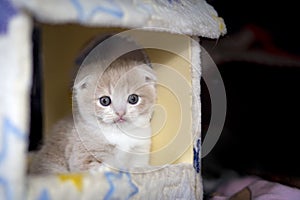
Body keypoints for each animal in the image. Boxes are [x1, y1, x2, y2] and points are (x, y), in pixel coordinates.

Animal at [29, 38, 157, 173]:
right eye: (104, 101)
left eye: (133, 99)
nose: (120, 112)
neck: (120, 135)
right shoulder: (81, 157)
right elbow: (101, 168)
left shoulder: (139, 149)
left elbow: (137, 166)